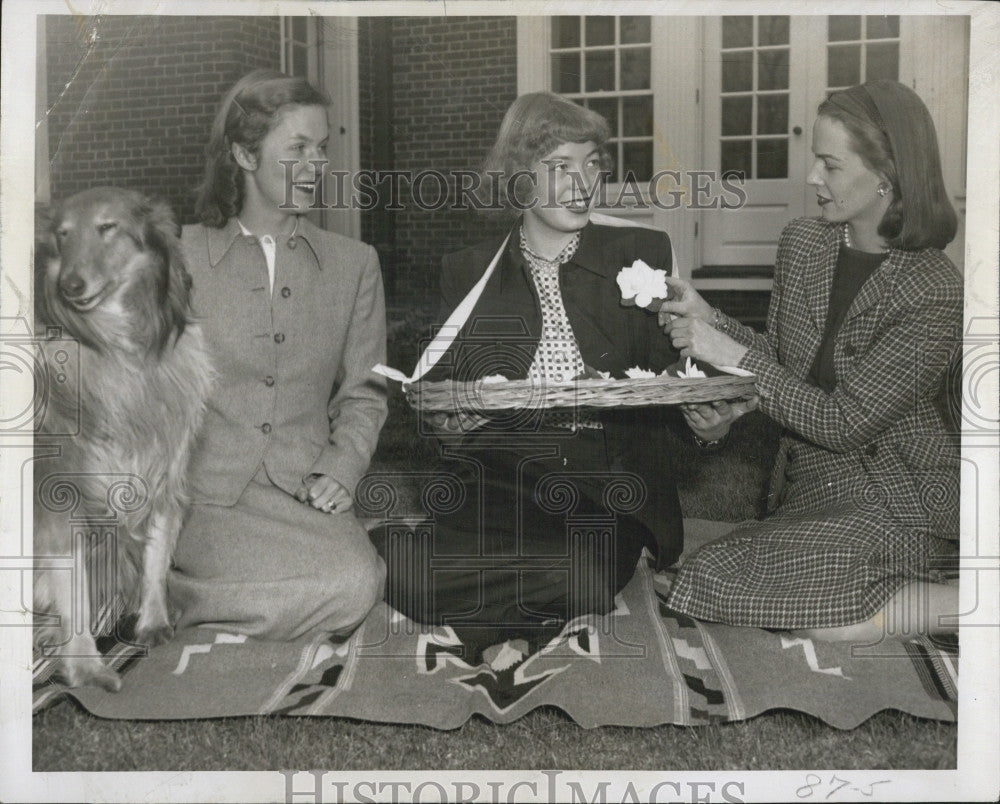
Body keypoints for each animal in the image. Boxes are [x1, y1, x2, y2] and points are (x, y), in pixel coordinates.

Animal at [35, 190, 213, 692]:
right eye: (62, 234)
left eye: (107, 227)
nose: (71, 286)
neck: (119, 351)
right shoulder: (61, 499)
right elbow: (72, 589)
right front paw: (86, 667)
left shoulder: (164, 477)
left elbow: (155, 558)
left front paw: (152, 623)